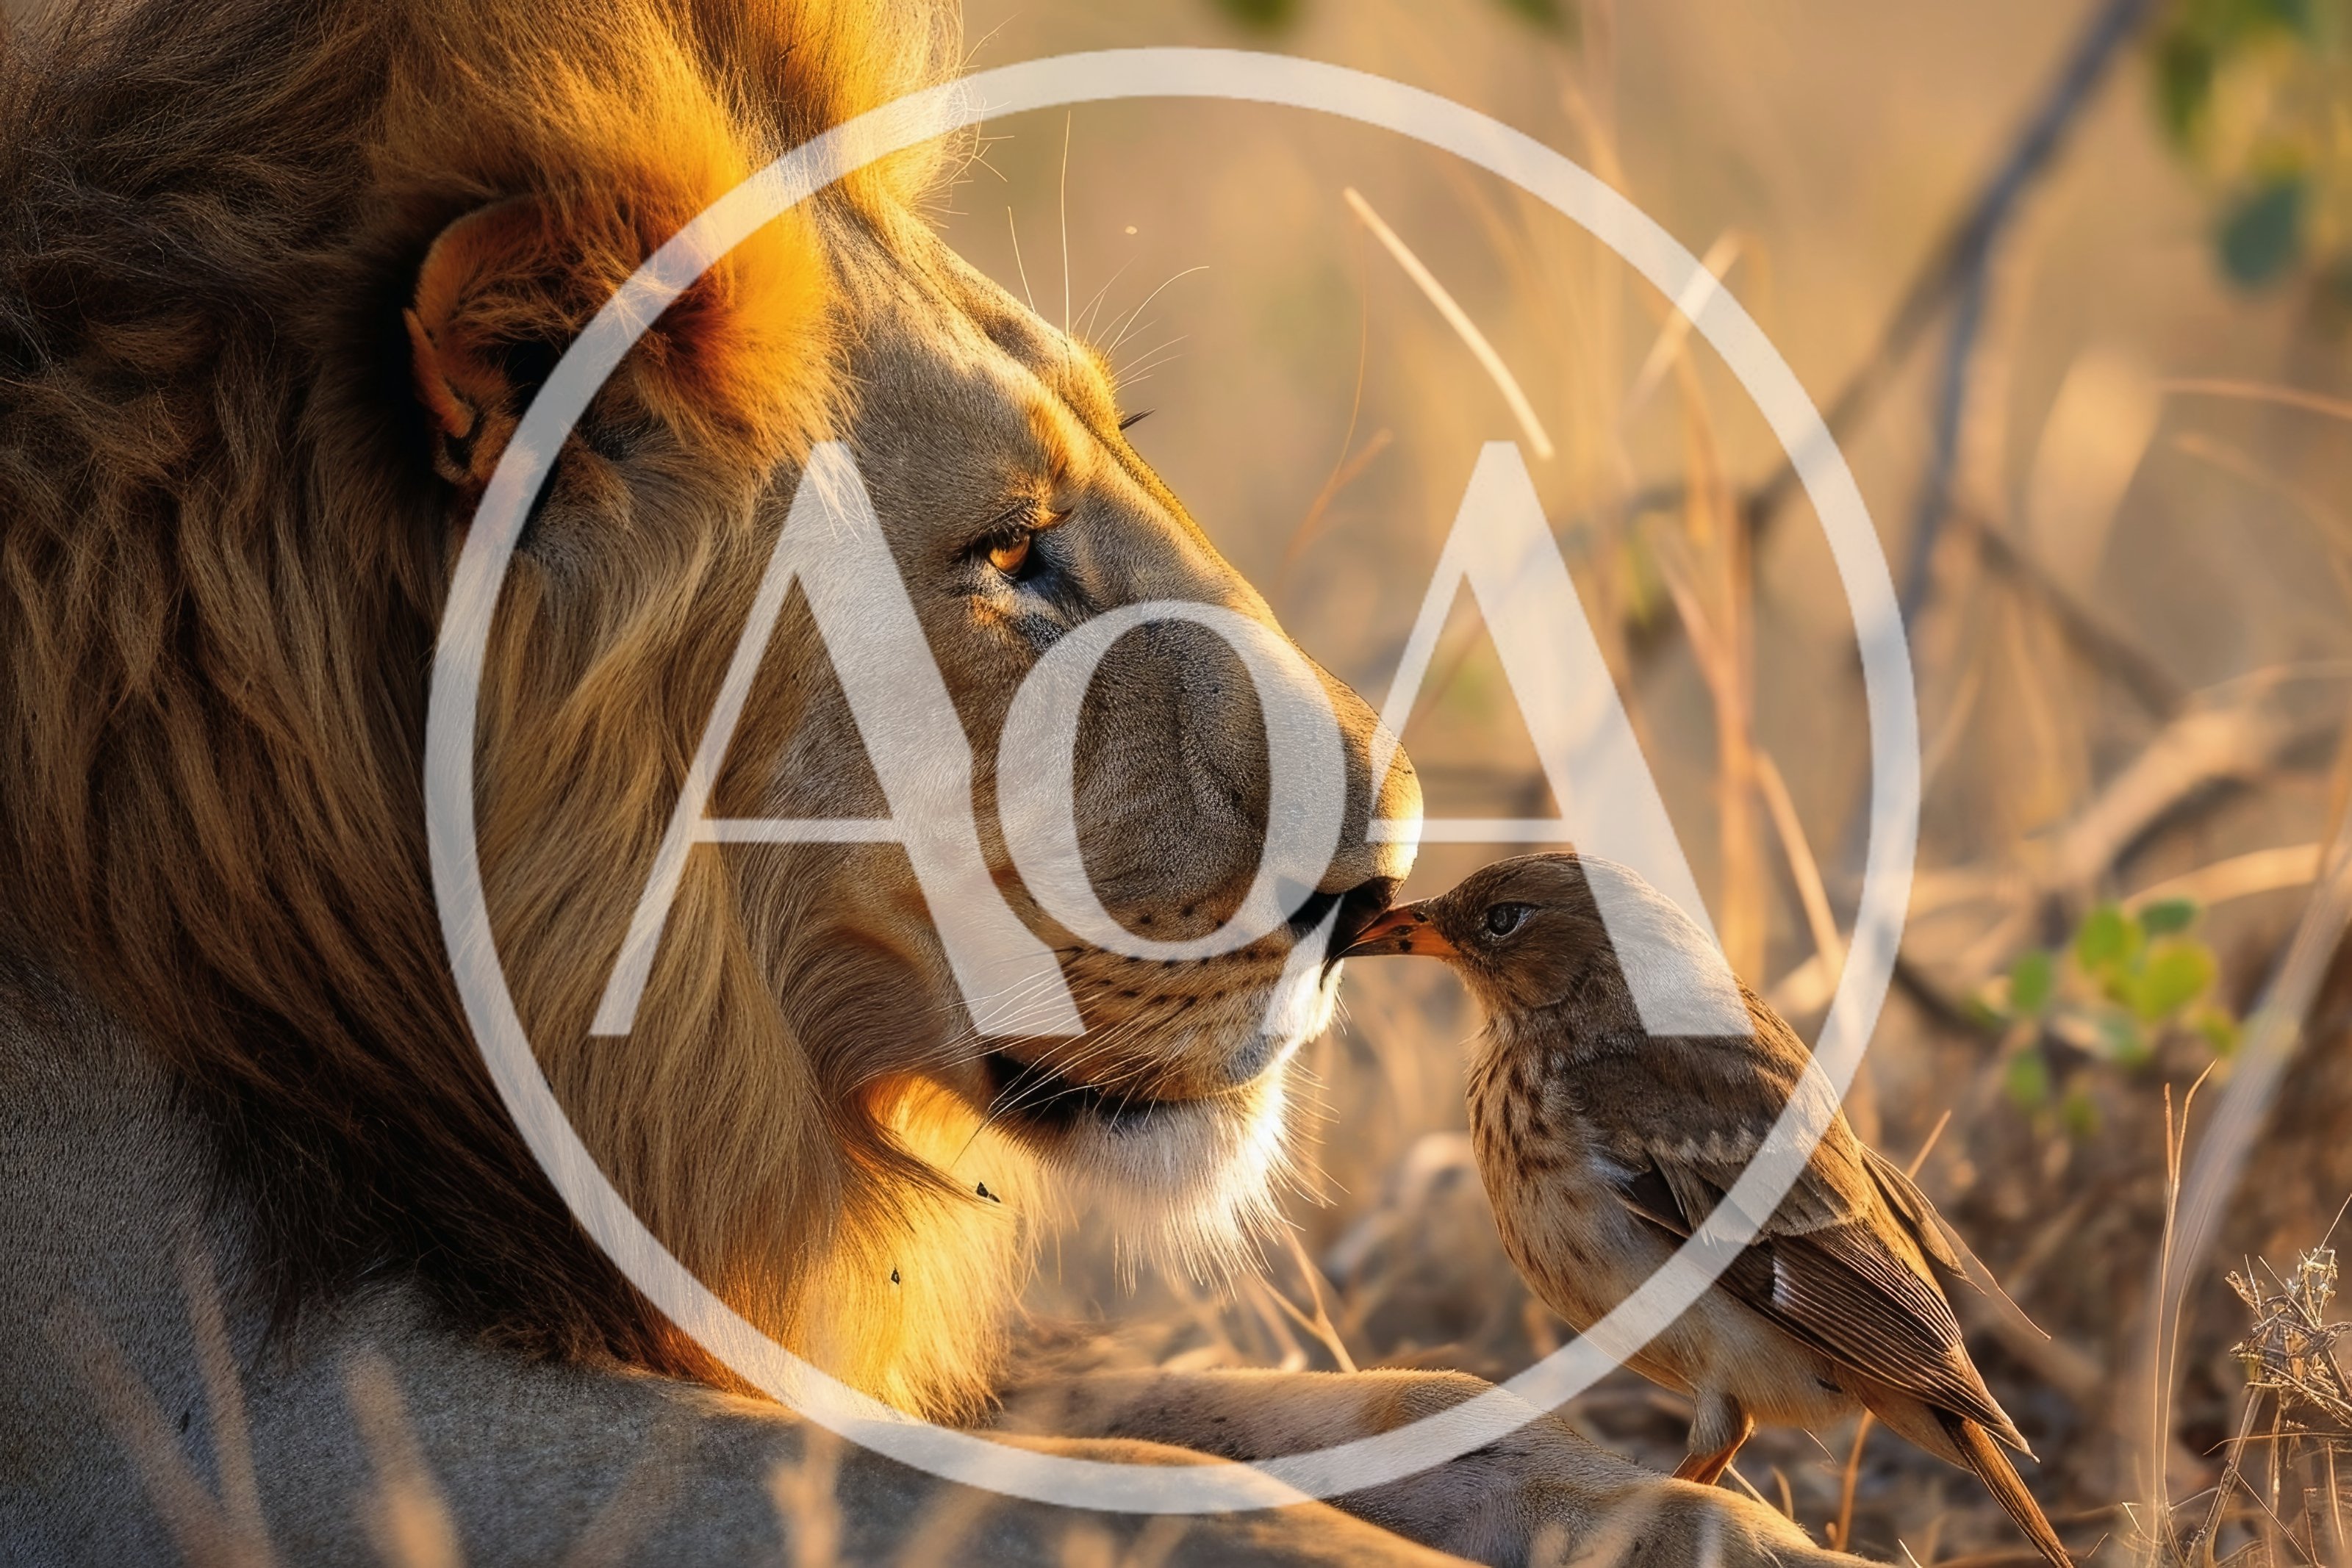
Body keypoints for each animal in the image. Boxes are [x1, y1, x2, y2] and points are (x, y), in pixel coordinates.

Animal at [0, 1, 1859, 1562]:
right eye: (1009, 551)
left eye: (1126, 444)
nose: (1379, 885)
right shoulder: (246, 1410)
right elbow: (1118, 1490)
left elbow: (1371, 1405)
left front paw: (1707, 1521)